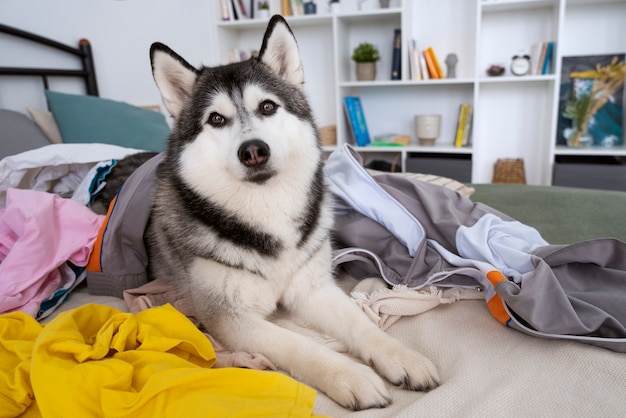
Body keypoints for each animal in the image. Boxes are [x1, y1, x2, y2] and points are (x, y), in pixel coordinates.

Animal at [146, 15, 438, 408]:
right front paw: (350, 375)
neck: (267, 212)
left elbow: (361, 325)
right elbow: (298, 345)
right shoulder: (230, 318)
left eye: (268, 107)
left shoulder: (312, 289)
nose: (253, 151)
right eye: (216, 119)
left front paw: (401, 356)